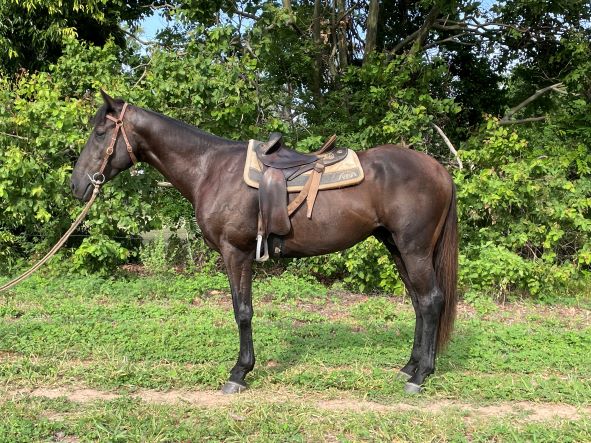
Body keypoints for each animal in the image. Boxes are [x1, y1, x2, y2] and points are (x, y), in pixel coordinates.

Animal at [71, 91, 458, 394]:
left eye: (101, 131)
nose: (77, 185)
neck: (210, 169)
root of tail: (440, 171)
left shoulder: (235, 253)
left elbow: (242, 311)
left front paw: (239, 372)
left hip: (414, 249)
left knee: (431, 301)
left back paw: (421, 376)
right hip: (397, 248)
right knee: (419, 302)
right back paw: (410, 367)